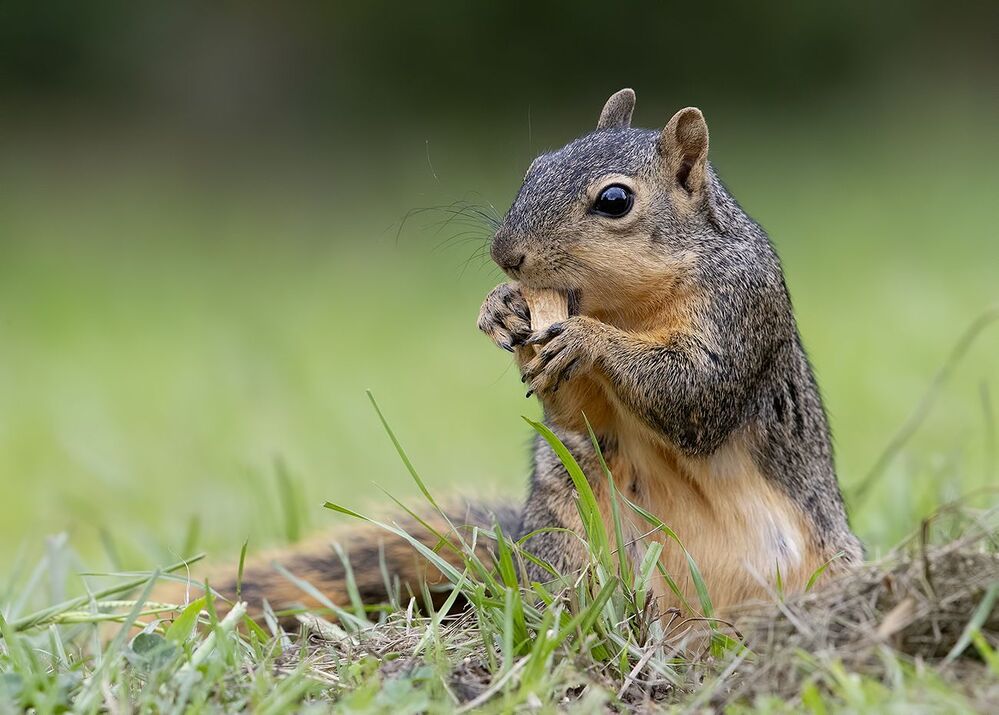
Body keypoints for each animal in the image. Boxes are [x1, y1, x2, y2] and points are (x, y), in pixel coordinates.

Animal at [156, 89, 861, 625]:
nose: (504, 255)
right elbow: (581, 418)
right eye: (533, 167)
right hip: (567, 539)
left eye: (615, 200)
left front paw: (585, 340)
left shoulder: (741, 305)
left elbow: (699, 392)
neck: (629, 305)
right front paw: (501, 307)